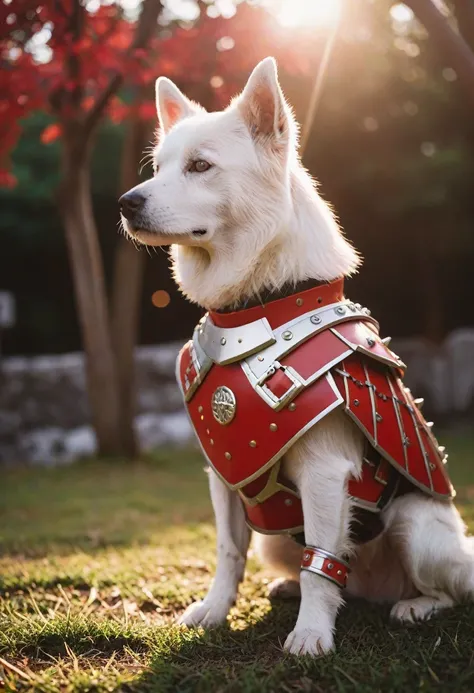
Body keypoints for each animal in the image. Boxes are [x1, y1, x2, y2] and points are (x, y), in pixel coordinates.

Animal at [120, 58, 474, 656]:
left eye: (200, 166)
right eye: (159, 166)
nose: (126, 203)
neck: (259, 306)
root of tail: (374, 588)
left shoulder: (325, 472)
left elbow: (321, 565)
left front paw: (311, 634)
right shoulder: (224, 476)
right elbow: (229, 550)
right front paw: (215, 611)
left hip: (416, 529)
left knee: (431, 587)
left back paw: (413, 606)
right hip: (278, 540)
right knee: (324, 573)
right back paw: (292, 589)